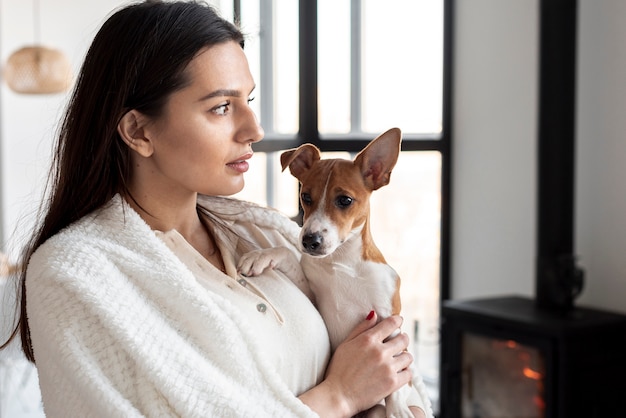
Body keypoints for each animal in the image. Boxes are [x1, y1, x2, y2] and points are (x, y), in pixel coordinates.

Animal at [236, 129, 412, 416]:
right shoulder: (314, 296)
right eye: (306, 197)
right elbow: (288, 255)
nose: (310, 241)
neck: (342, 262)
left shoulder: (390, 318)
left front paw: (397, 408)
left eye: (345, 200)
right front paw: (261, 256)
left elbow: (397, 367)